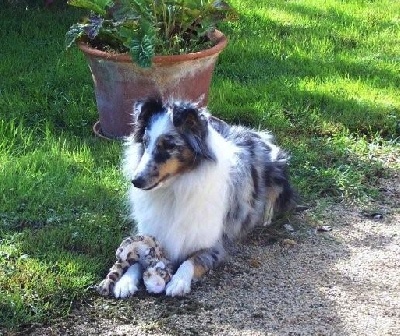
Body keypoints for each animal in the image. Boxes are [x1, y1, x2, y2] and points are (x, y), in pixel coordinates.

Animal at [112, 98, 294, 298]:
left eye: (169, 145)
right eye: (145, 142)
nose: (136, 181)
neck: (175, 189)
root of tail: (255, 133)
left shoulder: (213, 244)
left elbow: (191, 261)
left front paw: (178, 282)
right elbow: (135, 259)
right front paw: (125, 281)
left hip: (278, 169)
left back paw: (266, 216)